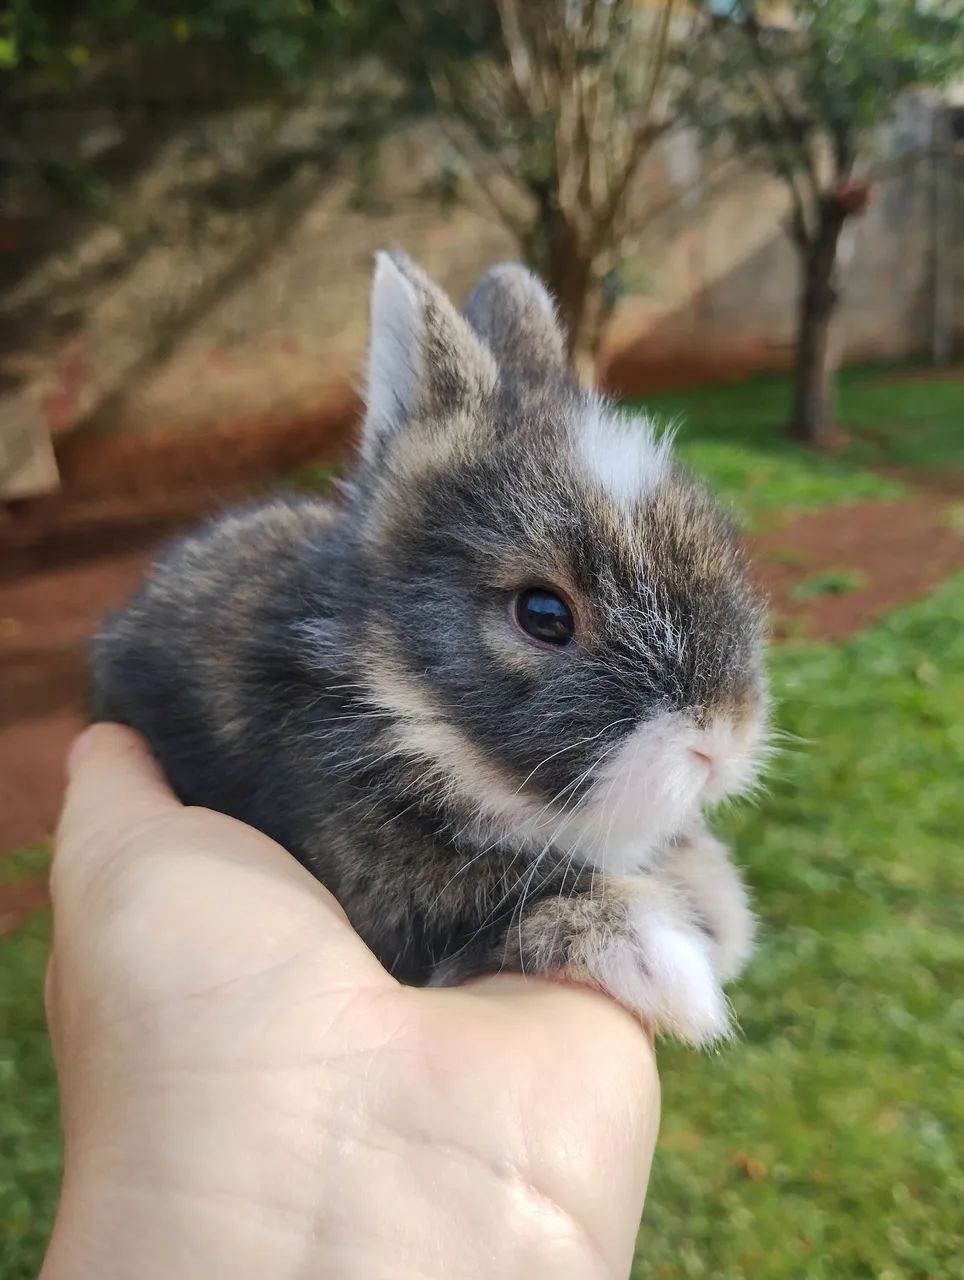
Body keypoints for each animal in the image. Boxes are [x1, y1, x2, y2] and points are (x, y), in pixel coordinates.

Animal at [90, 251, 767, 1045]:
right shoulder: (393, 891)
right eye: (543, 614)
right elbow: (507, 900)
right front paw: (674, 970)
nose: (721, 742)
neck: (400, 700)